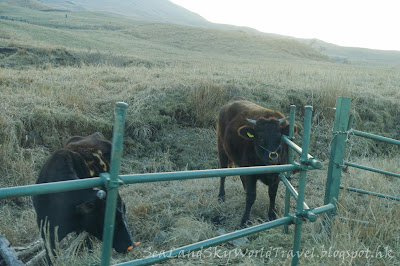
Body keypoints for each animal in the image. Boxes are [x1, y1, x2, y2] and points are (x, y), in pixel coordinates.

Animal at [216, 98, 296, 228]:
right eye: (261, 138)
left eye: (279, 137)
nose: (273, 158)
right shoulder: (252, 173)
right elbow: (251, 196)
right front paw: (244, 221)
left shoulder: (277, 175)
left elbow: (272, 194)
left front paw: (272, 215)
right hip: (222, 149)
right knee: (222, 173)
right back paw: (221, 196)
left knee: (241, 176)